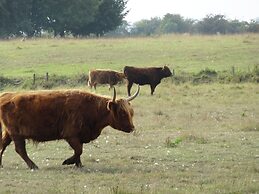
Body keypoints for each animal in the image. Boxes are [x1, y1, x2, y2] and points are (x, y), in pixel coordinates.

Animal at [0, 86, 140, 170]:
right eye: (122, 113)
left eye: (131, 112)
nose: (132, 127)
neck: (91, 109)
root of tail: (6, 95)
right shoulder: (71, 135)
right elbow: (78, 150)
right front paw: (68, 161)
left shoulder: (79, 136)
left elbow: (79, 150)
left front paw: (79, 164)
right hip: (16, 134)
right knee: (20, 150)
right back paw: (33, 166)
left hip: (8, 133)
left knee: (2, 145)